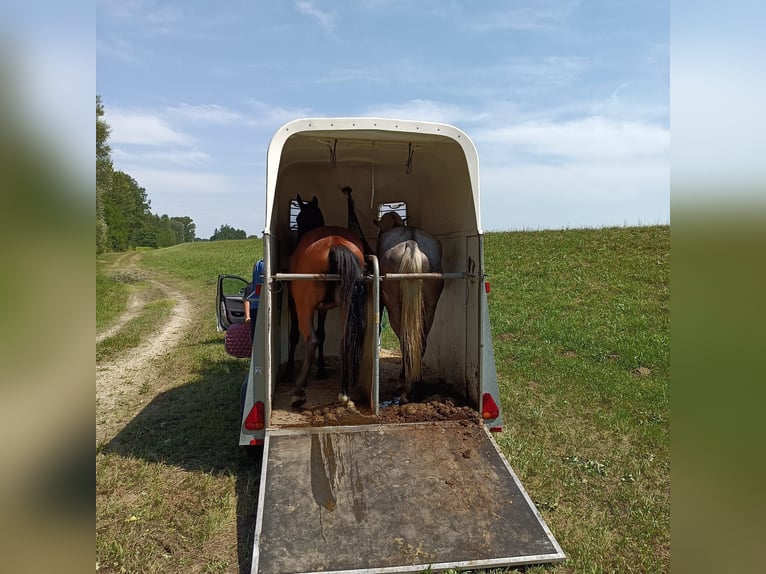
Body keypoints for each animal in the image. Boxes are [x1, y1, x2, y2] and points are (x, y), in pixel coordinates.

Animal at [290, 197, 370, 410]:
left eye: (298, 218)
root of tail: (335, 245)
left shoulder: (297, 305)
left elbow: (298, 335)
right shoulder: (324, 308)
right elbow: (323, 332)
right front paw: (321, 369)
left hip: (305, 308)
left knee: (311, 340)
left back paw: (299, 391)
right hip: (345, 307)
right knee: (345, 342)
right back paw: (344, 392)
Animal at [376, 213, 448, 404]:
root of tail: (412, 245)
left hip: (395, 309)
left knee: (406, 341)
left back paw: (408, 389)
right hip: (429, 307)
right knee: (419, 342)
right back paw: (417, 383)